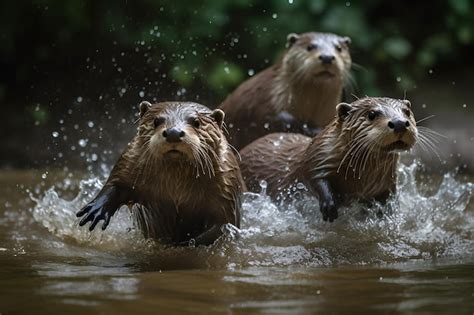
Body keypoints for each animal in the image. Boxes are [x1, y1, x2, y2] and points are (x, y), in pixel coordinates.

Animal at [76, 102, 246, 247]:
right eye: (156, 121)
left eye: (197, 122)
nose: (173, 132)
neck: (177, 190)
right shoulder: (129, 160)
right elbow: (116, 184)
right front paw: (96, 209)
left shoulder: (227, 188)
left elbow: (223, 225)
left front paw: (184, 243)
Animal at [241, 97, 418, 223]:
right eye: (372, 114)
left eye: (407, 112)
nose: (399, 123)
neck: (360, 179)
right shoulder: (316, 158)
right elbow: (313, 177)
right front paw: (329, 205)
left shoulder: (386, 183)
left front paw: (387, 214)